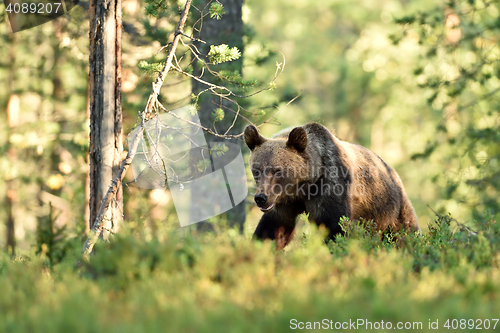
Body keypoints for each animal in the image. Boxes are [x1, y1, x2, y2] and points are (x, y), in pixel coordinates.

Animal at [244, 123, 420, 248]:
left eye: (278, 171)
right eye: (256, 170)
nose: (261, 198)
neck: (304, 186)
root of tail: (393, 171)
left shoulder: (330, 186)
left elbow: (334, 227)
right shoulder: (284, 201)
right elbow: (274, 227)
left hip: (390, 208)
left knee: (406, 232)